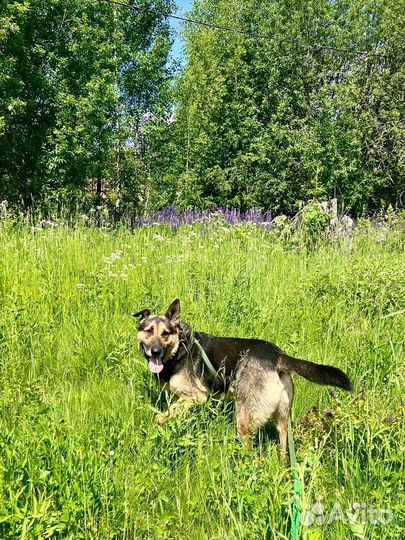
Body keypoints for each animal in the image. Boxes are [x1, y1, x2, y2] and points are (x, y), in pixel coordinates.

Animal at [134, 300, 352, 452]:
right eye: (148, 331)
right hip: (283, 422)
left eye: (165, 333)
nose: (155, 351)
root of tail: (277, 356)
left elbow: (161, 417)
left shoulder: (197, 396)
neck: (179, 347)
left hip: (244, 420)